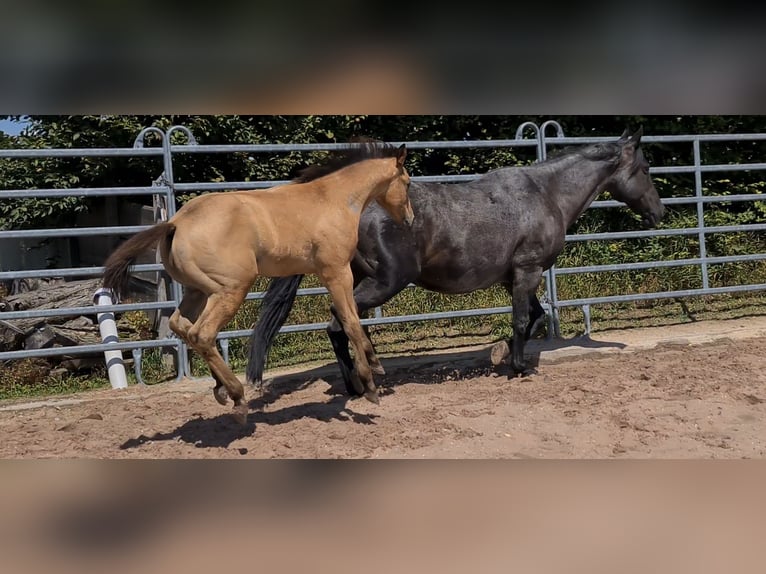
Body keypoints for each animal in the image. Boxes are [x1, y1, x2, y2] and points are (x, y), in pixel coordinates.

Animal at [102, 141, 413, 425]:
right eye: (407, 183)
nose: (409, 219)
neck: (332, 200)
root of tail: (176, 223)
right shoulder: (336, 272)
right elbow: (350, 321)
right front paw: (370, 383)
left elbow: (352, 321)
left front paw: (373, 369)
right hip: (230, 289)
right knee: (202, 333)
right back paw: (238, 397)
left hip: (198, 290)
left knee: (183, 326)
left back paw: (221, 389)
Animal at [246, 128, 666, 397]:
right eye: (645, 169)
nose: (659, 213)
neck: (544, 195)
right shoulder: (528, 270)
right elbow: (522, 319)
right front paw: (517, 366)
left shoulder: (513, 276)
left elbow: (536, 315)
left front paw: (500, 352)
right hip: (385, 281)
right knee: (337, 322)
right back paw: (362, 384)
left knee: (344, 324)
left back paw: (359, 381)